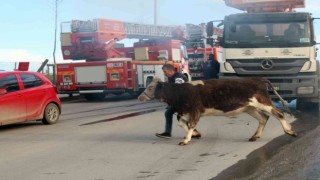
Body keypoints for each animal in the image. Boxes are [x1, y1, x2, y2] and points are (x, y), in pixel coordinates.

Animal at [139, 76, 298, 146]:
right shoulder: (185, 112)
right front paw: (195, 134)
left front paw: (186, 139)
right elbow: (183, 124)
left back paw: (290, 131)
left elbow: (190, 125)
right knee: (263, 118)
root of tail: (259, 79)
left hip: (262, 102)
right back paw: (255, 136)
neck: (179, 93)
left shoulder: (195, 110)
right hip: (249, 107)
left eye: (150, 87)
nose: (140, 97)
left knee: (278, 113)